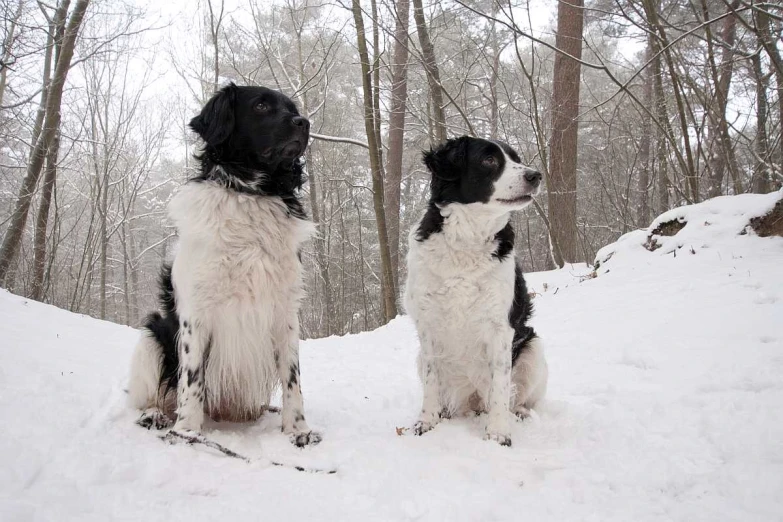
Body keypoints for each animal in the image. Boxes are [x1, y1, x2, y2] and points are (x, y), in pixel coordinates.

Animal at [129, 83, 318, 444]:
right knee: (154, 394)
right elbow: (192, 379)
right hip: (150, 337)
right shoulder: (195, 313)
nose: (304, 122)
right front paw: (186, 432)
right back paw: (155, 415)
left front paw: (298, 430)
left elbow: (293, 379)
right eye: (260, 106)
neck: (252, 194)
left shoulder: (285, 311)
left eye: (292, 108)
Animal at [408, 136, 548, 444]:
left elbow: (500, 387)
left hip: (534, 349)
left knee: (518, 398)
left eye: (515, 158)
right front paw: (427, 422)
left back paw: (518, 414)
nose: (535, 176)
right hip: (420, 357)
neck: (467, 241)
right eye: (489, 160)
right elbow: (432, 382)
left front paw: (497, 433)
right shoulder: (428, 325)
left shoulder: (500, 327)